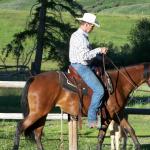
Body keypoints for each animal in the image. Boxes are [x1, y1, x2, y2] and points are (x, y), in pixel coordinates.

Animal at [12, 62, 149, 150]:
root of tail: (34, 78)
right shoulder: (109, 116)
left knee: (37, 134)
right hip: (37, 112)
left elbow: (130, 130)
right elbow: (101, 137)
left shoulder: (117, 114)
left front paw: (138, 146)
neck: (118, 83)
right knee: (20, 126)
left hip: (43, 113)